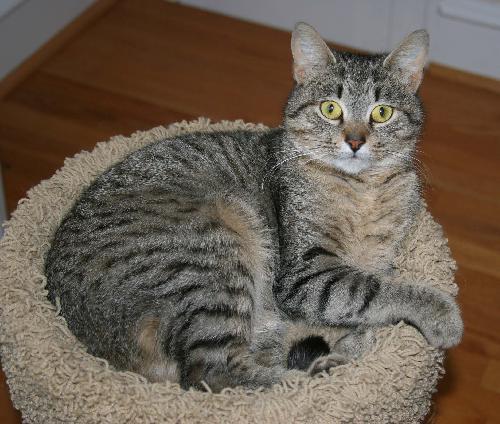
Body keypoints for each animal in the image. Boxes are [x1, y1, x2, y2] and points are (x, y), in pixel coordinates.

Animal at [45, 23, 462, 392]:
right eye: (330, 109)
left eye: (381, 113)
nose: (355, 141)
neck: (363, 190)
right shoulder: (305, 274)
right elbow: (377, 291)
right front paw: (442, 314)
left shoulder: (380, 259)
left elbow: (374, 297)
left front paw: (358, 339)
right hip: (213, 254)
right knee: (212, 373)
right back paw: (314, 375)